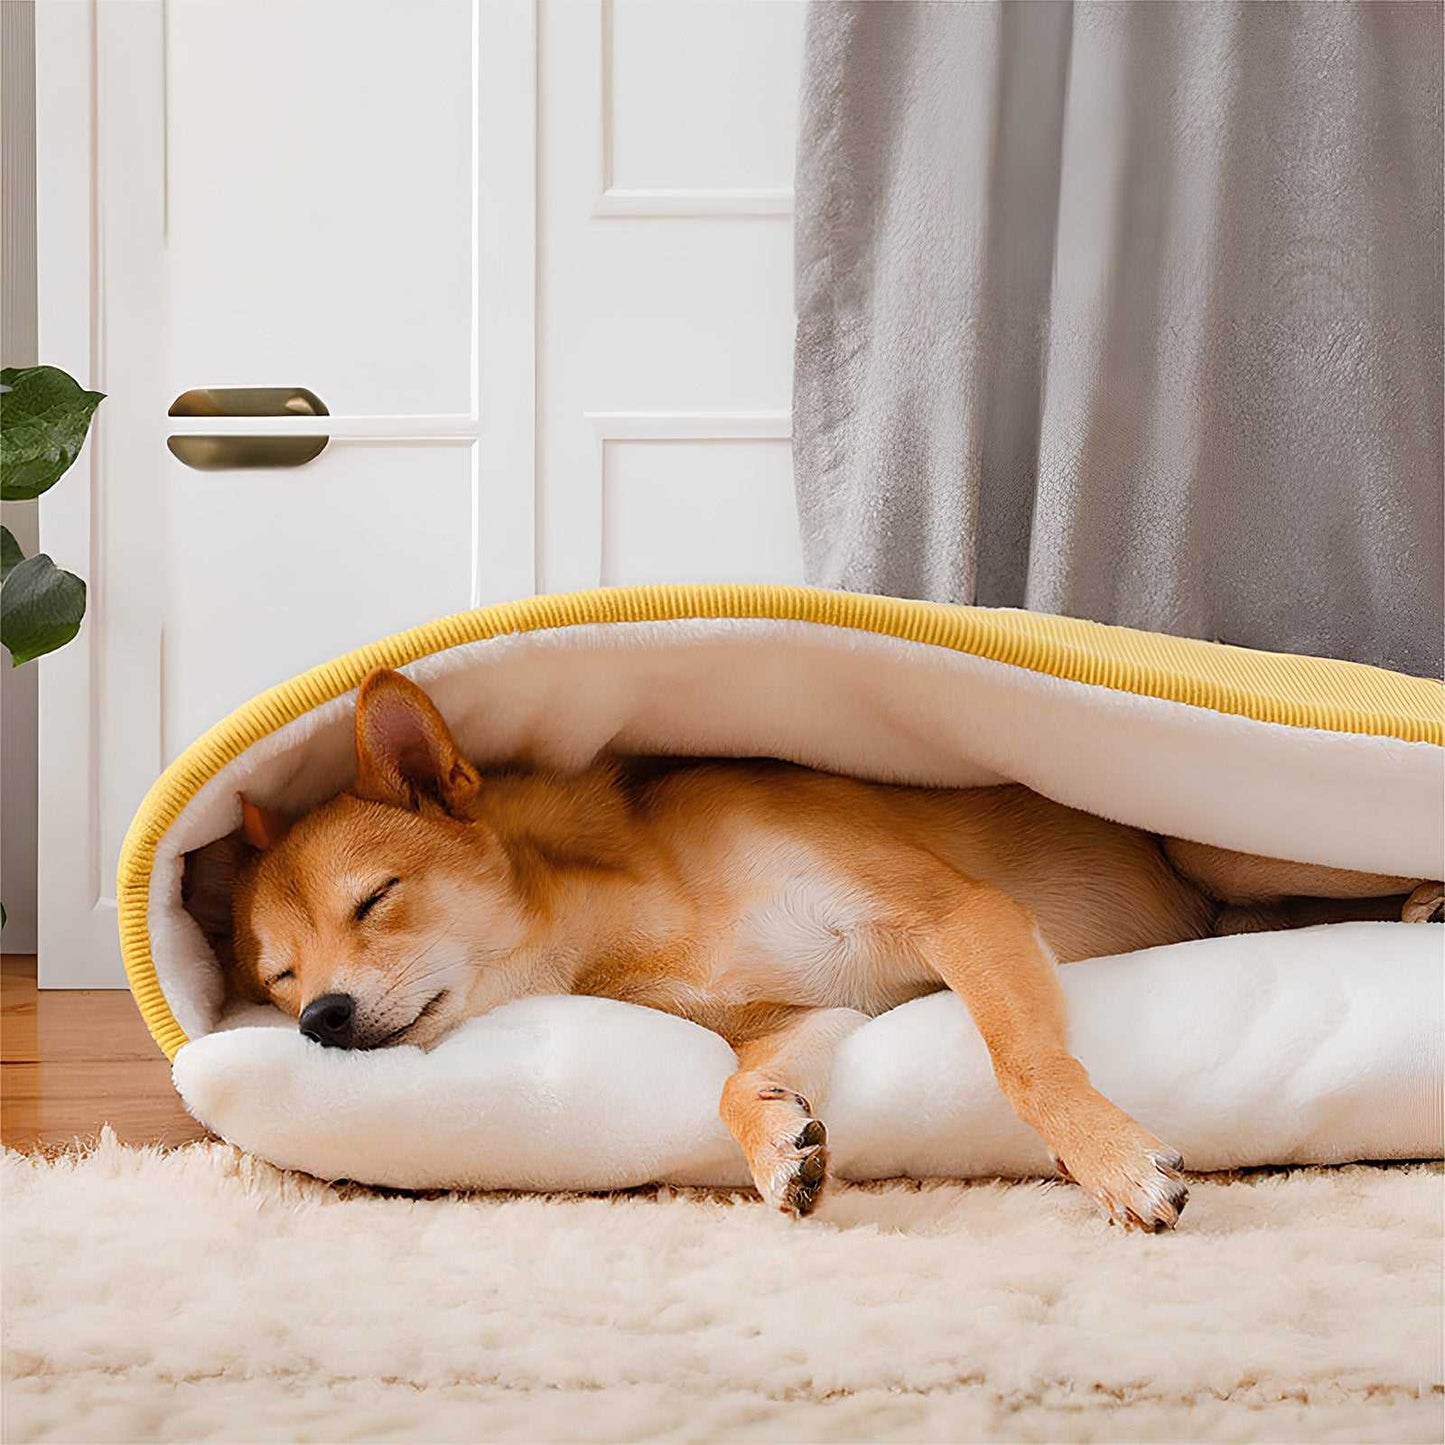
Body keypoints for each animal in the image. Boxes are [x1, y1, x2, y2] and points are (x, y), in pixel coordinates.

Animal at [186, 664, 1439, 1231]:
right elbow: (736, 1083)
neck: (643, 912)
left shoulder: (960, 915)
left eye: (375, 898)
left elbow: (1025, 1063)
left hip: (1217, 837)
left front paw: (1113, 1161)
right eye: (279, 977)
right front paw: (776, 1148)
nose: (318, 1019)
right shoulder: (803, 1014)